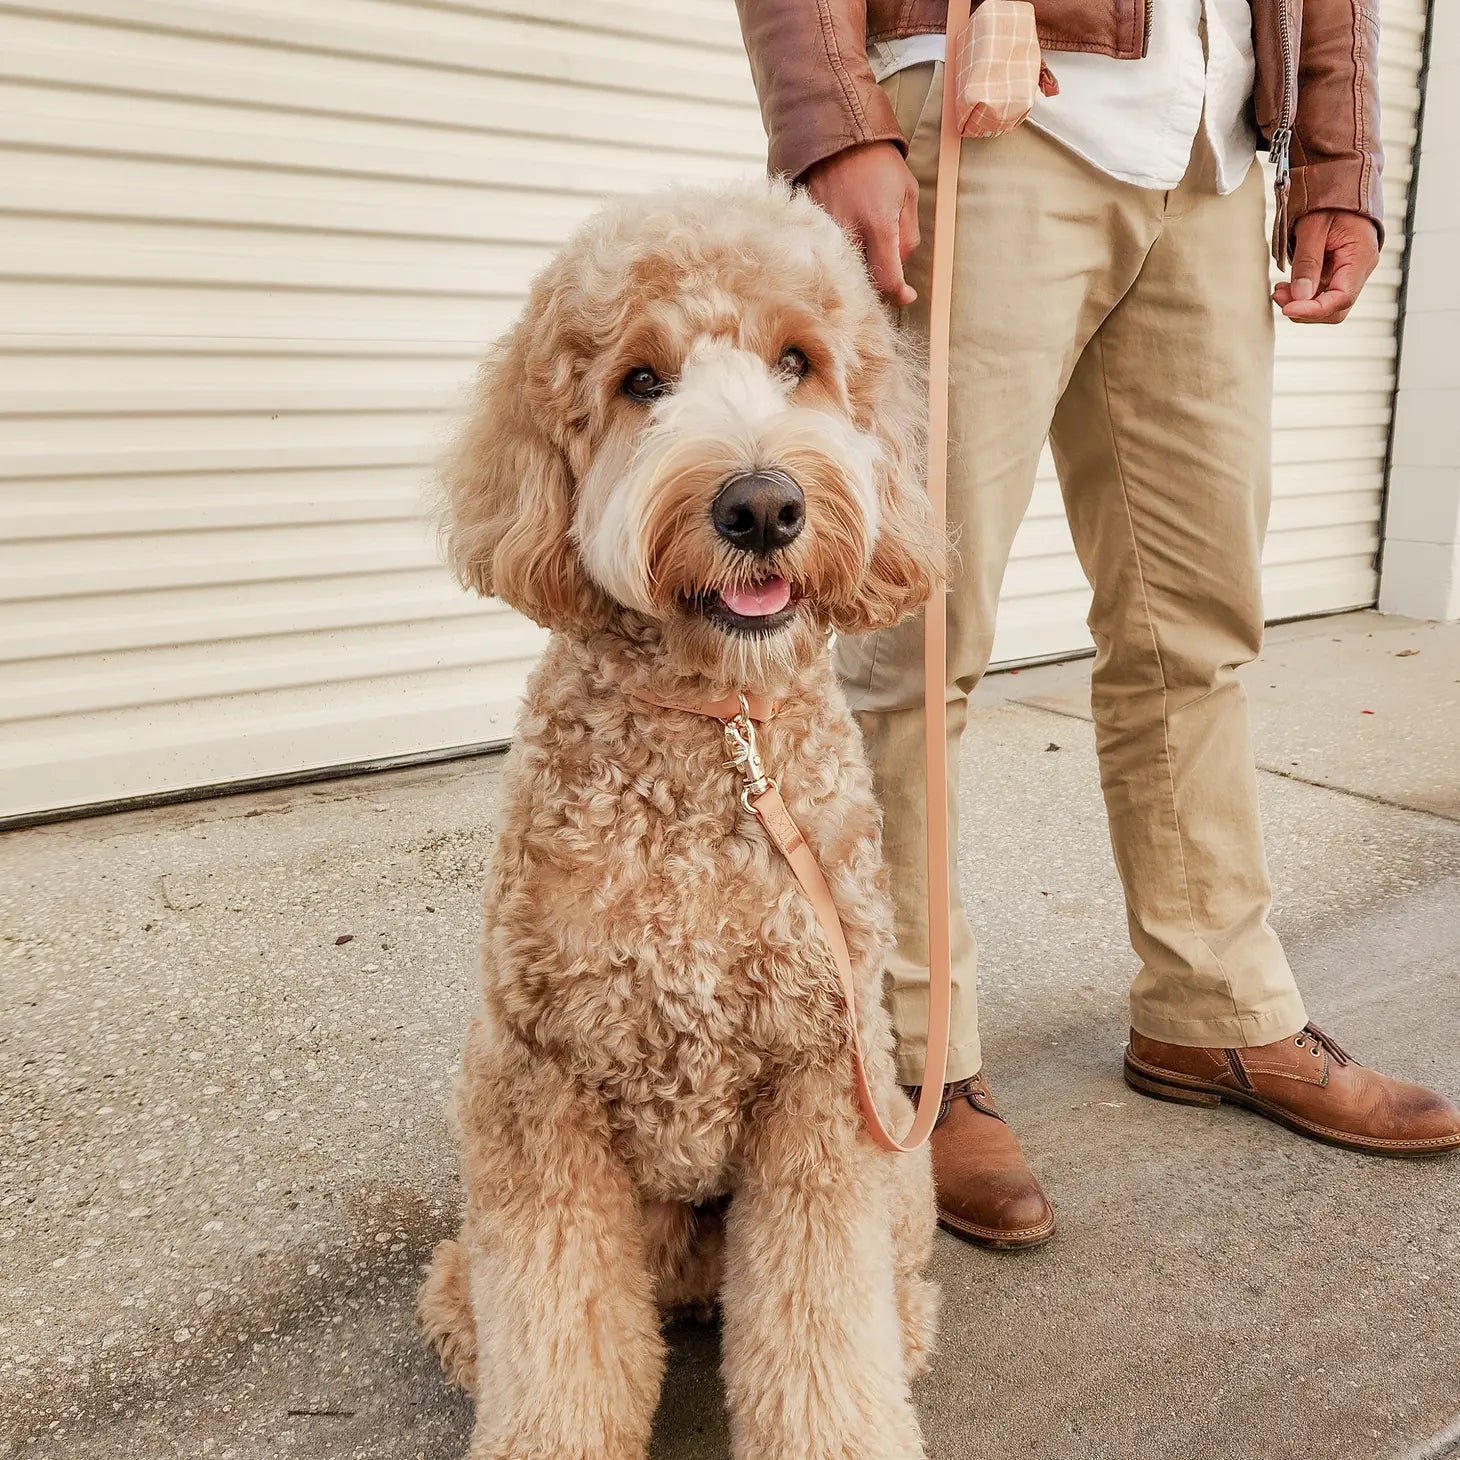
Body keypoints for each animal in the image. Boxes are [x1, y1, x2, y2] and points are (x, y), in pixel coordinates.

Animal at [423, 176, 946, 1454]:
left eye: (798, 361)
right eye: (640, 381)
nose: (760, 503)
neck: (715, 729)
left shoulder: (819, 1081)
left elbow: (820, 1328)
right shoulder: (535, 1089)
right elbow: (560, 1344)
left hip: (891, 1163)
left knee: (880, 1296)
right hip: (460, 1269)